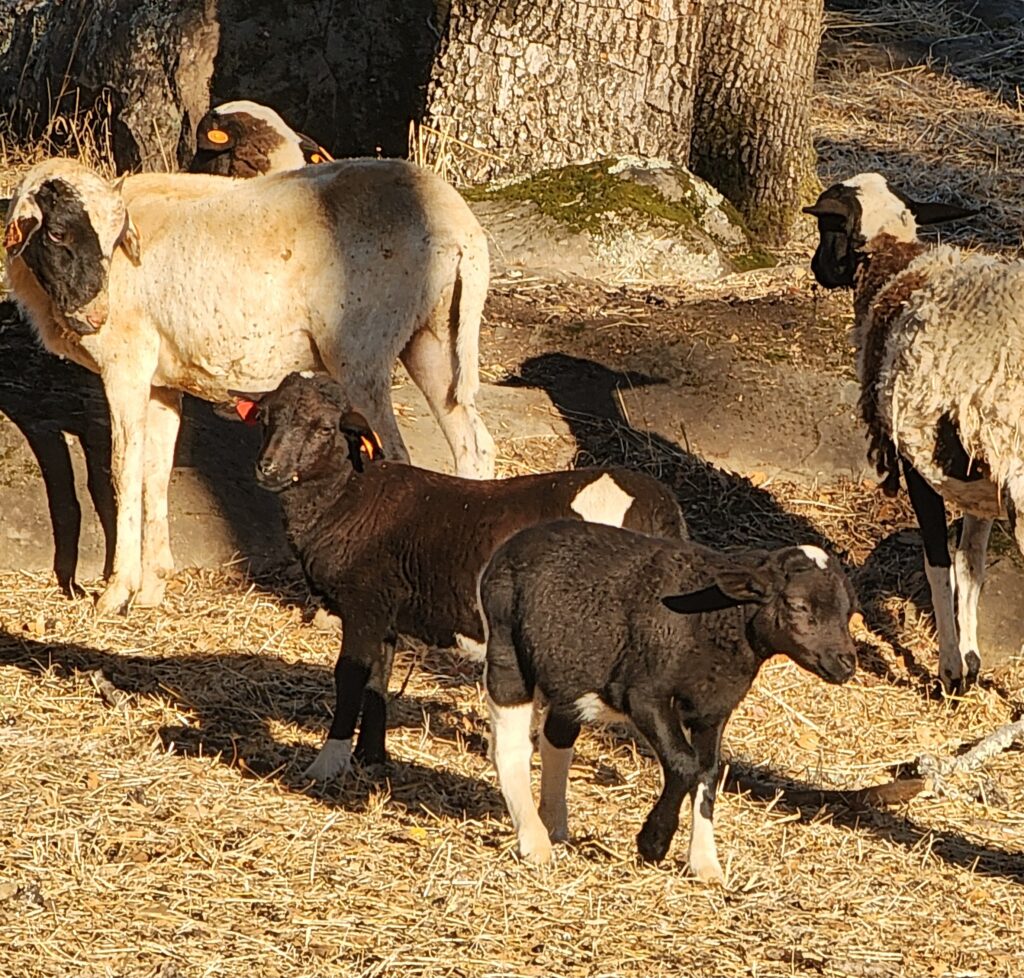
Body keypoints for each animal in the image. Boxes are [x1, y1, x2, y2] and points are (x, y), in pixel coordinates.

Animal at [3, 156, 495, 614]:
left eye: (112, 237)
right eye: (58, 234)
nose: (94, 317)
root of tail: (461, 225)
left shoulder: (127, 364)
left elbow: (122, 470)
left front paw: (117, 593)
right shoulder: (162, 381)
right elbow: (154, 473)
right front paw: (152, 588)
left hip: (360, 350)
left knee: (395, 455)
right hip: (433, 337)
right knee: (473, 445)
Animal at [230, 371, 687, 783]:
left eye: (325, 427)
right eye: (265, 417)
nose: (267, 469)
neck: (347, 497)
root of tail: (661, 508)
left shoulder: (363, 605)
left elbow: (350, 677)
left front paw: (326, 765)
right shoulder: (385, 612)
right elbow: (379, 678)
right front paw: (371, 757)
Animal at [480, 520, 858, 878]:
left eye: (848, 611)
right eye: (798, 605)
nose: (846, 664)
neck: (714, 622)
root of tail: (511, 545)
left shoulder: (712, 708)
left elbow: (707, 773)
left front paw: (706, 865)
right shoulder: (644, 695)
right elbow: (683, 763)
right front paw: (653, 842)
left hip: (571, 671)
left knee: (556, 738)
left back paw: (554, 826)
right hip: (507, 650)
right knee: (511, 748)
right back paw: (534, 842)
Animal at [803, 172, 1022, 692]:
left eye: (826, 226)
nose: (815, 269)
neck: (895, 267)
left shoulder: (917, 458)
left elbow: (939, 562)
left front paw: (950, 672)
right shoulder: (980, 482)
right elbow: (971, 564)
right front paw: (971, 660)